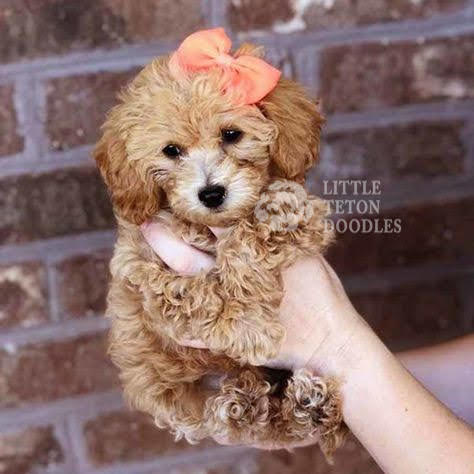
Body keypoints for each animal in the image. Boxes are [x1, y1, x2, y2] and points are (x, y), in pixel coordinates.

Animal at [93, 28, 344, 456]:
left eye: (231, 135)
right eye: (171, 151)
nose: (211, 193)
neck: (209, 225)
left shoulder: (309, 217)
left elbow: (254, 233)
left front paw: (271, 215)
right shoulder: (141, 268)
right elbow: (191, 294)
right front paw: (246, 325)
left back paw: (310, 406)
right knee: (241, 416)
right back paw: (254, 404)